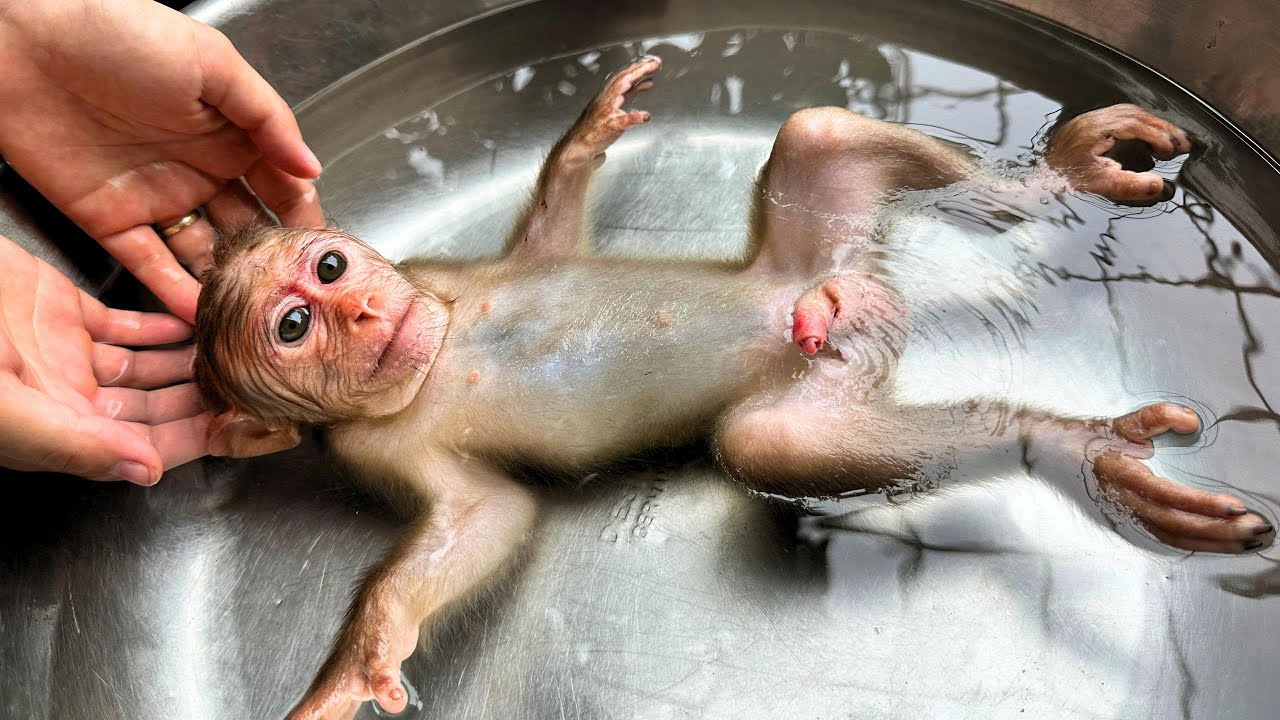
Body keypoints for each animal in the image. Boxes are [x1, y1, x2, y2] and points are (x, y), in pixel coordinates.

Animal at [191, 57, 1271, 720]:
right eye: (291, 328)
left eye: (331, 267)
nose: (362, 314)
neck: (437, 344)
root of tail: (853, 307)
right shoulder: (381, 445)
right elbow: (484, 519)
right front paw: (363, 660)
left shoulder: (438, 278)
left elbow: (545, 245)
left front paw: (588, 131)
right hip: (818, 384)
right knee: (768, 446)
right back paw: (1067, 452)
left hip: (817, 249)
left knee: (821, 131)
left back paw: (1053, 181)